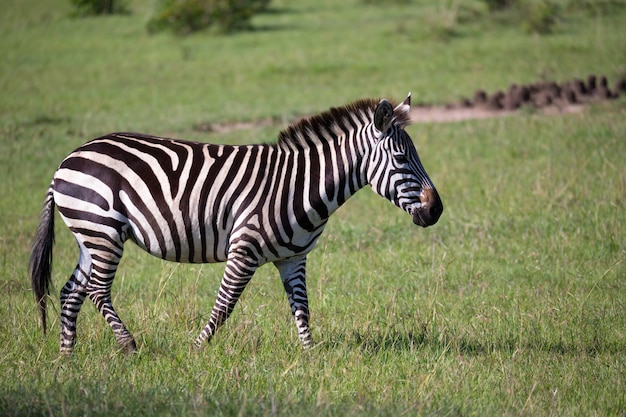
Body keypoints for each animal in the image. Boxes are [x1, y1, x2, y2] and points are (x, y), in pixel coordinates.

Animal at [28, 95, 438, 354]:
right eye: (401, 158)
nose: (436, 211)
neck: (300, 185)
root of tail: (67, 159)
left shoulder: (293, 258)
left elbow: (302, 307)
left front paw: (311, 356)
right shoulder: (244, 250)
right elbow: (224, 306)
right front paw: (196, 351)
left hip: (90, 236)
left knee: (71, 291)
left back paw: (67, 357)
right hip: (104, 231)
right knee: (97, 291)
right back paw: (129, 346)